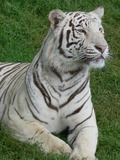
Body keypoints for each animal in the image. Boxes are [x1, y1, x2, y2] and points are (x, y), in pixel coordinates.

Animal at [0, 6, 109, 160]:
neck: (66, 77)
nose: (103, 47)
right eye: (82, 31)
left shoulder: (86, 122)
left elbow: (86, 141)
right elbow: (43, 134)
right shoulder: (15, 118)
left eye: (100, 30)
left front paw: (83, 156)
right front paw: (64, 150)